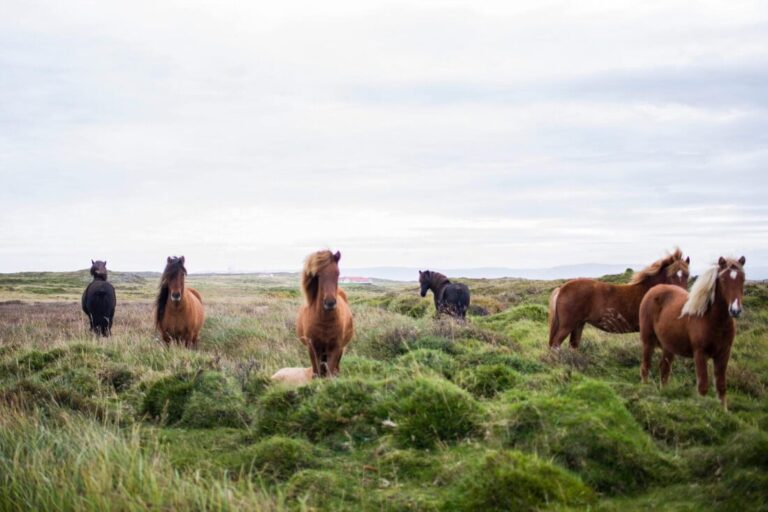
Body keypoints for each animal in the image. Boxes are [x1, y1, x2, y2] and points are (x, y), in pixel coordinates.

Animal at [548, 248, 690, 349]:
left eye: (687, 275)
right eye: (671, 275)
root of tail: (561, 289)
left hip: (578, 324)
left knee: (573, 345)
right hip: (567, 325)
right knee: (556, 344)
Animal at [639, 256, 746, 409]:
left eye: (743, 279)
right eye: (723, 280)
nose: (735, 310)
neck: (712, 320)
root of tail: (654, 290)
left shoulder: (724, 354)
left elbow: (721, 387)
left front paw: (723, 411)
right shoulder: (700, 354)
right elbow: (703, 387)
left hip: (668, 347)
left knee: (664, 369)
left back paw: (664, 393)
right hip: (648, 341)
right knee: (645, 367)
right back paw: (645, 389)